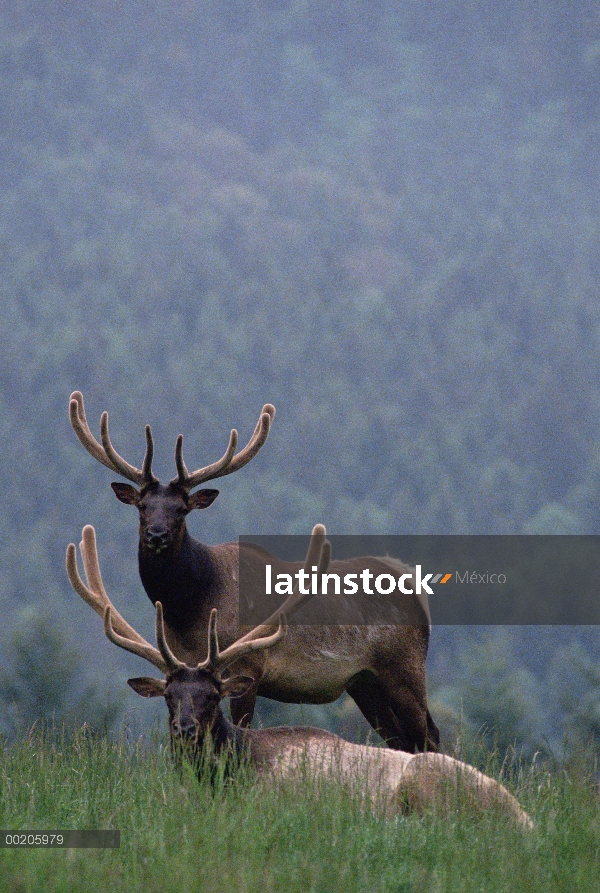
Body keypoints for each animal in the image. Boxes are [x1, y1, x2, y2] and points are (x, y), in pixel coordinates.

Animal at [65, 524, 532, 828]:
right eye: (168, 695)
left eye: (213, 696)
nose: (185, 729)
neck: (235, 772)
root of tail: (525, 817)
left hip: (423, 763)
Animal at [69, 392, 440, 752]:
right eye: (143, 507)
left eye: (182, 509)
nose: (156, 535)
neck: (189, 610)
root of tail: (416, 588)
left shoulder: (248, 666)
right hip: (364, 682)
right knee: (401, 739)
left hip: (404, 667)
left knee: (429, 735)